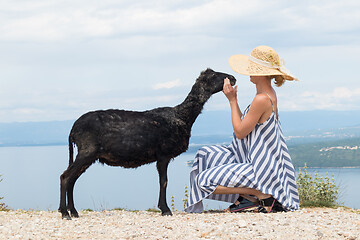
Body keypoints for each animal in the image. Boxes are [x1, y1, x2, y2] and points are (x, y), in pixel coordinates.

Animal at [58, 68, 236, 218]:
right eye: (215, 75)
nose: (233, 78)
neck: (182, 117)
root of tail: (73, 129)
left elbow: (163, 181)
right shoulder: (163, 154)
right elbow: (164, 182)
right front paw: (165, 210)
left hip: (87, 155)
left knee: (72, 179)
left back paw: (73, 211)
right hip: (87, 150)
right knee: (65, 177)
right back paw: (65, 213)